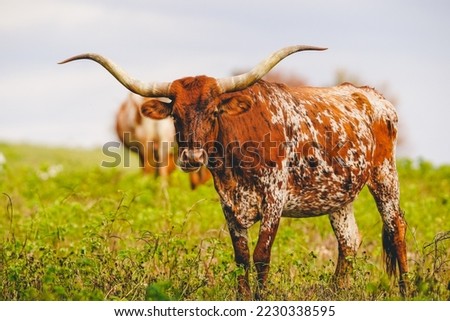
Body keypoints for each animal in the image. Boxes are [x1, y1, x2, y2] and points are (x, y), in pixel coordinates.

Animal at [59, 44, 408, 298]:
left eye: (214, 111)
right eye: (175, 114)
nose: (192, 156)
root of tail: (371, 94)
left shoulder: (274, 201)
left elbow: (261, 255)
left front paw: (261, 298)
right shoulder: (229, 204)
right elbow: (241, 258)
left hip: (384, 175)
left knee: (396, 227)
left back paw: (405, 290)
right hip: (338, 195)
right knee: (349, 241)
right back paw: (336, 291)